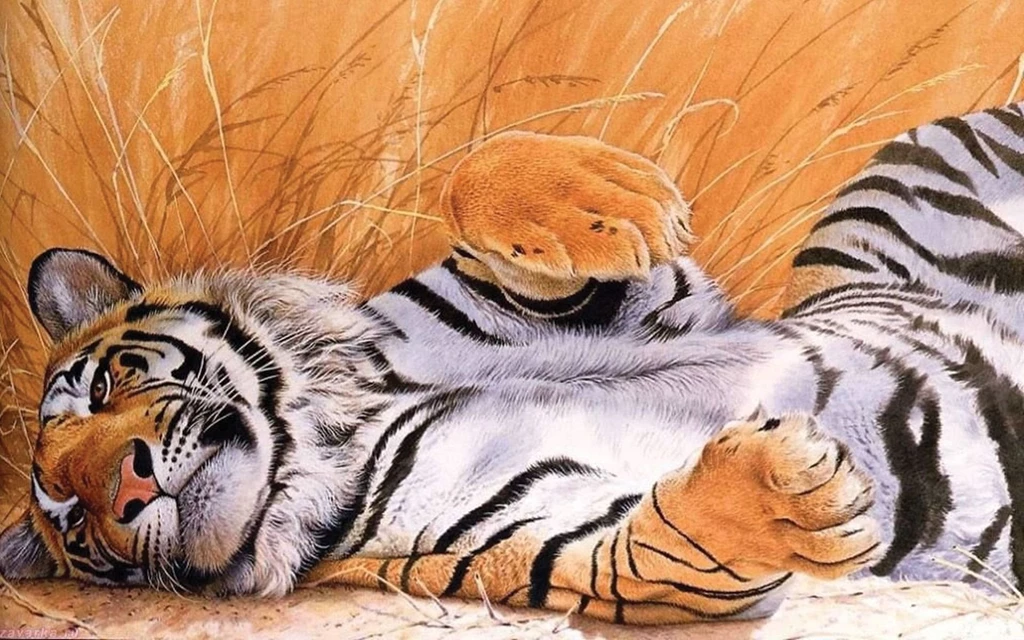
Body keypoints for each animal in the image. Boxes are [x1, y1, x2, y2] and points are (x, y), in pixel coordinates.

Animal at [1, 100, 1023, 626]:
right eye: (74, 525)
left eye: (102, 385)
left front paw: (612, 198)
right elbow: (669, 541)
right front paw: (783, 484)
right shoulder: (555, 535)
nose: (127, 485)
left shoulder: (636, 303)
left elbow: (479, 173)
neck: (324, 443)